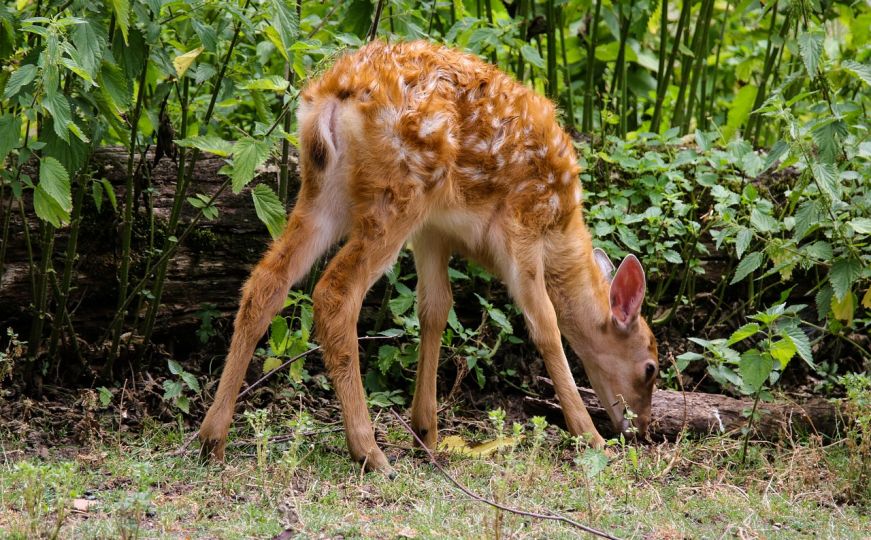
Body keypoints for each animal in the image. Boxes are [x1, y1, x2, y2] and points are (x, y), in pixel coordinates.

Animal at [198, 41, 656, 472]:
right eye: (650, 367)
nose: (641, 428)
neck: (560, 230)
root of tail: (332, 96)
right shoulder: (522, 225)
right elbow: (544, 323)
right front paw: (591, 438)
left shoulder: (434, 232)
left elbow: (434, 310)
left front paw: (426, 433)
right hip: (398, 192)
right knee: (334, 294)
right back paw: (368, 451)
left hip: (324, 192)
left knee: (265, 282)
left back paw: (211, 439)